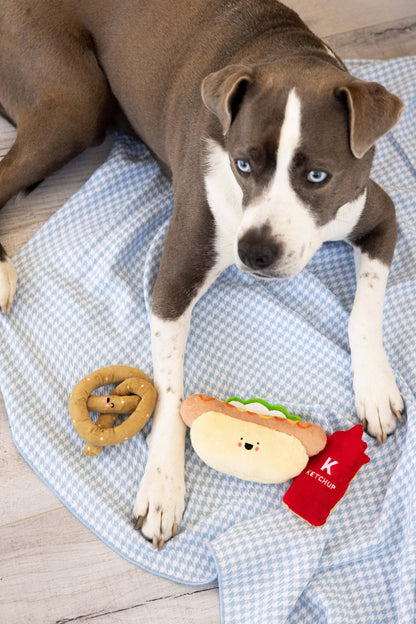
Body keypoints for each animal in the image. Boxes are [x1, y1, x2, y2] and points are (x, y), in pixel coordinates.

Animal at [0, 0, 404, 544]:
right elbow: (170, 393)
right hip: (72, 105)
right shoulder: (172, 282)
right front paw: (162, 486)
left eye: (318, 176)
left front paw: (376, 389)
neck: (286, 50)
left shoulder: (378, 215)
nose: (254, 252)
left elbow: (365, 311)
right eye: (242, 164)